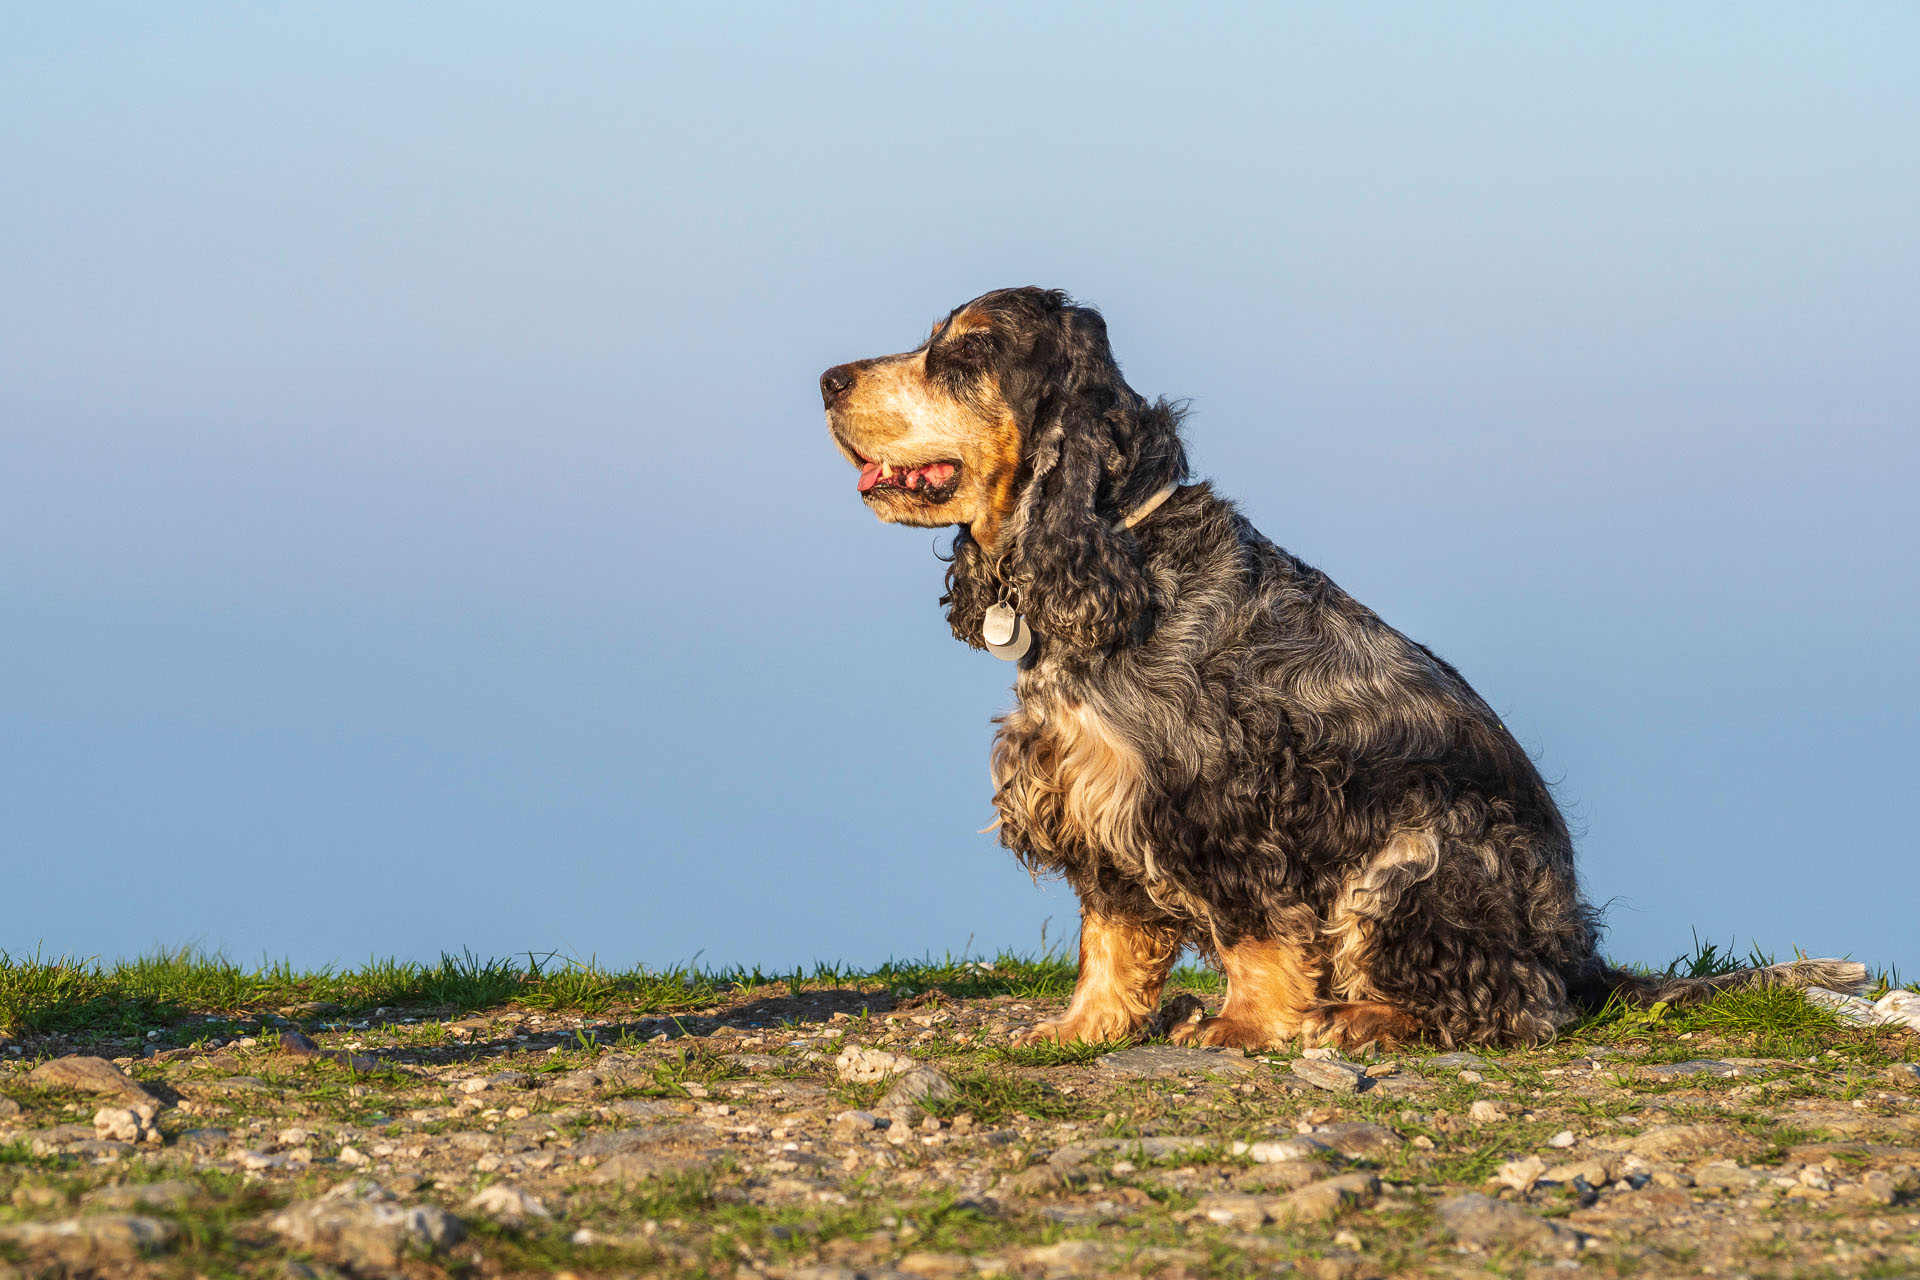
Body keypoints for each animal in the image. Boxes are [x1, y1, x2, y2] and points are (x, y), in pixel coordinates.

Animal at [821, 289, 1858, 1051]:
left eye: (966, 352)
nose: (828, 379)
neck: (1121, 544)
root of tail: (1579, 956)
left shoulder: (1219, 798)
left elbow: (1254, 929)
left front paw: (1245, 1025)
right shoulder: (1095, 796)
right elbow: (1109, 935)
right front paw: (1080, 1029)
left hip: (1425, 853)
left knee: (1512, 1002)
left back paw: (1356, 1017)